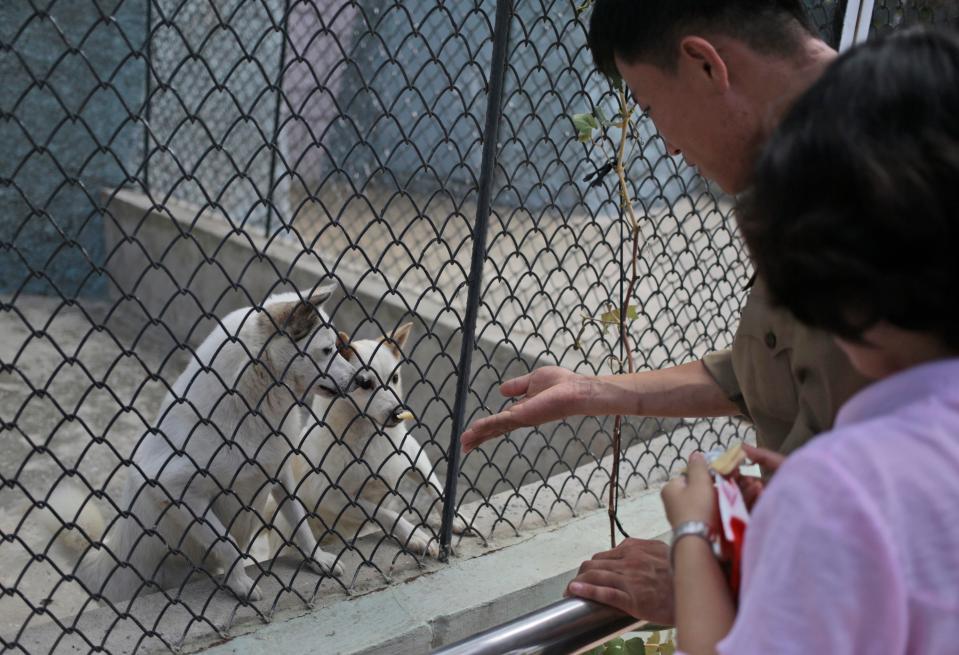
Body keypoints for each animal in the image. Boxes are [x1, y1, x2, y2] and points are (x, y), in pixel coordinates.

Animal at [44, 284, 356, 604]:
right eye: (327, 350)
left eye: (336, 347)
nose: (359, 378)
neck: (249, 403)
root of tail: (108, 559)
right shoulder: (176, 489)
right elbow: (227, 543)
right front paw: (240, 584)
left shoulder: (280, 474)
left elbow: (300, 521)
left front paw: (317, 558)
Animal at [272, 322, 466, 560]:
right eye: (365, 383)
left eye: (394, 378)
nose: (398, 412)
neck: (371, 436)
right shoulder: (335, 499)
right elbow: (386, 513)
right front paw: (414, 535)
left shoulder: (415, 455)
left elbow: (436, 488)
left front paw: (455, 518)